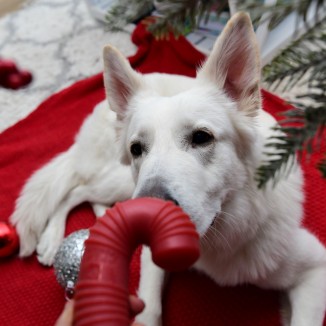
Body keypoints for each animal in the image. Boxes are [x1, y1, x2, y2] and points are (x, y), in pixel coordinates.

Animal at [10, 11, 326, 324]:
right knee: (75, 190)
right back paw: (52, 238)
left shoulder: (315, 269)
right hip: (121, 180)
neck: (226, 228)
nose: (152, 212)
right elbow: (149, 306)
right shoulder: (152, 258)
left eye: (202, 137)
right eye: (137, 149)